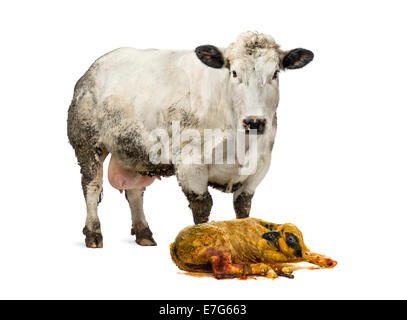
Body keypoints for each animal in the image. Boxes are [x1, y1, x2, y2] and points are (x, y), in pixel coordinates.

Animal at [67, 30, 316, 248]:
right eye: (234, 73)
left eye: (275, 73)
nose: (254, 121)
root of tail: (94, 68)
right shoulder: (190, 164)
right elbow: (202, 206)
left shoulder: (260, 167)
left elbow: (243, 207)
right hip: (87, 142)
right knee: (92, 186)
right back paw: (93, 233)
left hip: (134, 149)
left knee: (134, 191)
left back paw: (144, 233)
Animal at [171, 219, 336, 278]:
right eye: (290, 239)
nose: (304, 249)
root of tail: (175, 243)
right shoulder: (267, 254)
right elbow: (302, 257)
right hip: (223, 246)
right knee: (221, 270)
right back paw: (264, 269)